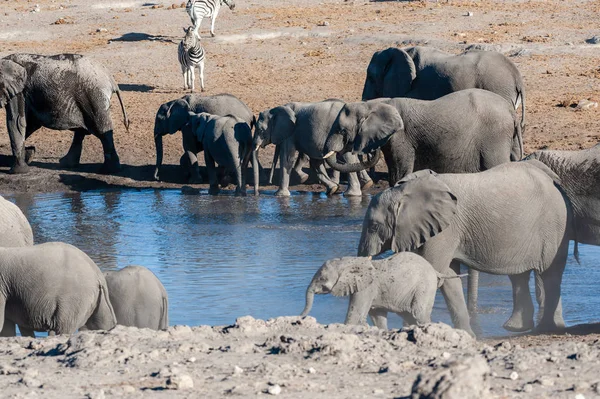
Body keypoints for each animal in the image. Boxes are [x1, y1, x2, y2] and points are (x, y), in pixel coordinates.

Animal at [0, 52, 129, 173]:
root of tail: (111, 79)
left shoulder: (19, 92)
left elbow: (16, 122)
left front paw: (18, 171)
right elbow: (29, 124)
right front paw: (29, 154)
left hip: (93, 97)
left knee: (103, 132)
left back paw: (109, 170)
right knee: (82, 132)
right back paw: (66, 164)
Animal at [302, 255, 442, 330]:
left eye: (322, 278)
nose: (301, 316)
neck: (348, 261)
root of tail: (435, 271)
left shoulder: (367, 288)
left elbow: (355, 314)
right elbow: (377, 316)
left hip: (425, 286)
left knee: (419, 313)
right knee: (409, 315)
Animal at [324, 88, 520, 185]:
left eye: (342, 130)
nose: (370, 152)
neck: (375, 103)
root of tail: (510, 110)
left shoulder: (402, 138)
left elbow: (400, 172)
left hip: (494, 135)